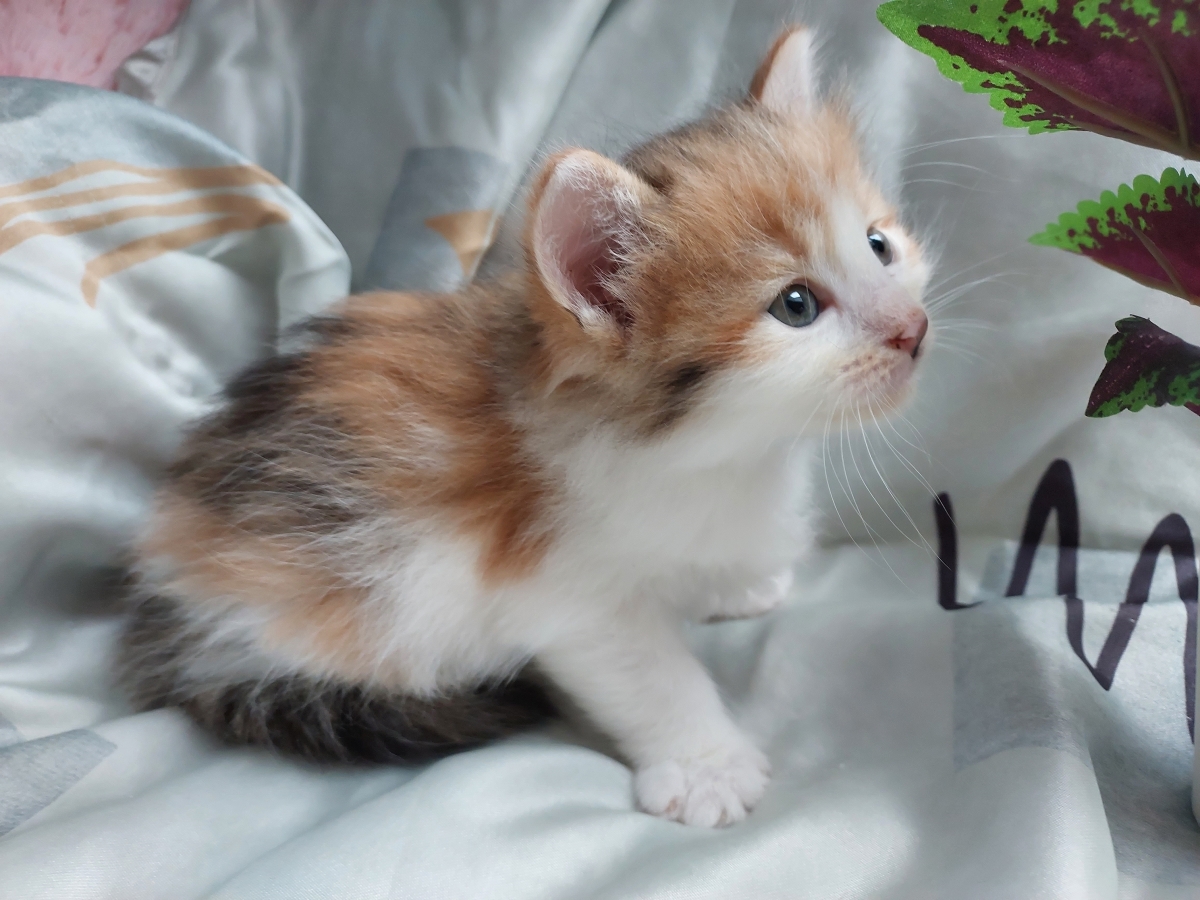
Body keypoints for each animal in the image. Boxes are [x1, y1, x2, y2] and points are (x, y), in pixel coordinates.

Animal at [116, 26, 930, 828]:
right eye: (796, 305)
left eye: (879, 244)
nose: (912, 329)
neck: (705, 452)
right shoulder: (566, 594)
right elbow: (653, 674)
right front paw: (707, 765)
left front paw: (735, 584)